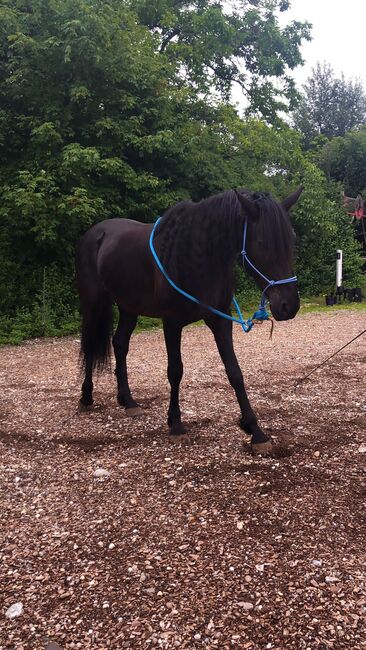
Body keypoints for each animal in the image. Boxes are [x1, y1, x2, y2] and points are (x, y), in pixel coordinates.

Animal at [76, 186, 302, 450]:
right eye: (262, 243)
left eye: (292, 240)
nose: (289, 306)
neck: (196, 255)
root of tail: (95, 233)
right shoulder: (171, 322)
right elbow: (175, 370)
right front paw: (175, 424)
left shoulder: (220, 320)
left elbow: (234, 372)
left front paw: (255, 430)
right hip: (93, 305)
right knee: (90, 345)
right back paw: (86, 396)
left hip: (129, 307)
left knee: (120, 344)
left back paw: (128, 401)